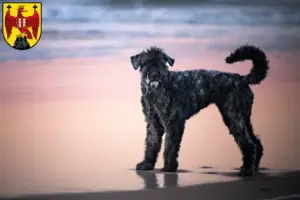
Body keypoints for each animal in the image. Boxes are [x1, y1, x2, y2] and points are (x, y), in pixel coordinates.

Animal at [131, 44, 270, 176]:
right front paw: (146, 164)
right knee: (256, 142)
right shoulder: (153, 122)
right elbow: (151, 143)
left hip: (234, 117)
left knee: (248, 143)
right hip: (243, 117)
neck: (156, 92)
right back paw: (254, 168)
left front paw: (169, 167)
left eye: (162, 62)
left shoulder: (174, 122)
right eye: (144, 63)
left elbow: (170, 146)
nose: (154, 74)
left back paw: (246, 170)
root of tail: (242, 79)